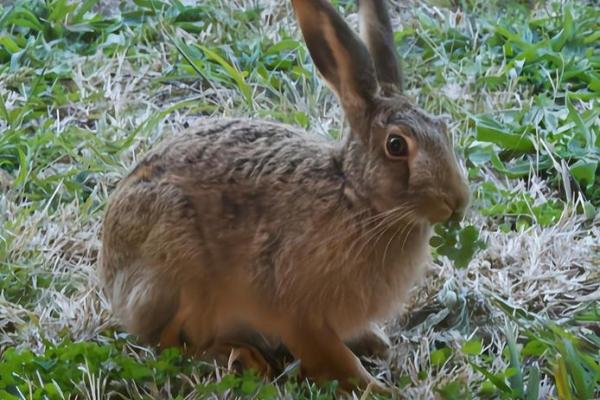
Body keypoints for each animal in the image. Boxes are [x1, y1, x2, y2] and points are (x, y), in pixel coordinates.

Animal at [101, 0, 472, 394]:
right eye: (396, 145)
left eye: (444, 128)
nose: (458, 201)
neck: (356, 198)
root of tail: (111, 275)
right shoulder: (298, 312)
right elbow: (335, 359)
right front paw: (379, 390)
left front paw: (378, 349)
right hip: (182, 270)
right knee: (174, 341)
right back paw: (244, 358)